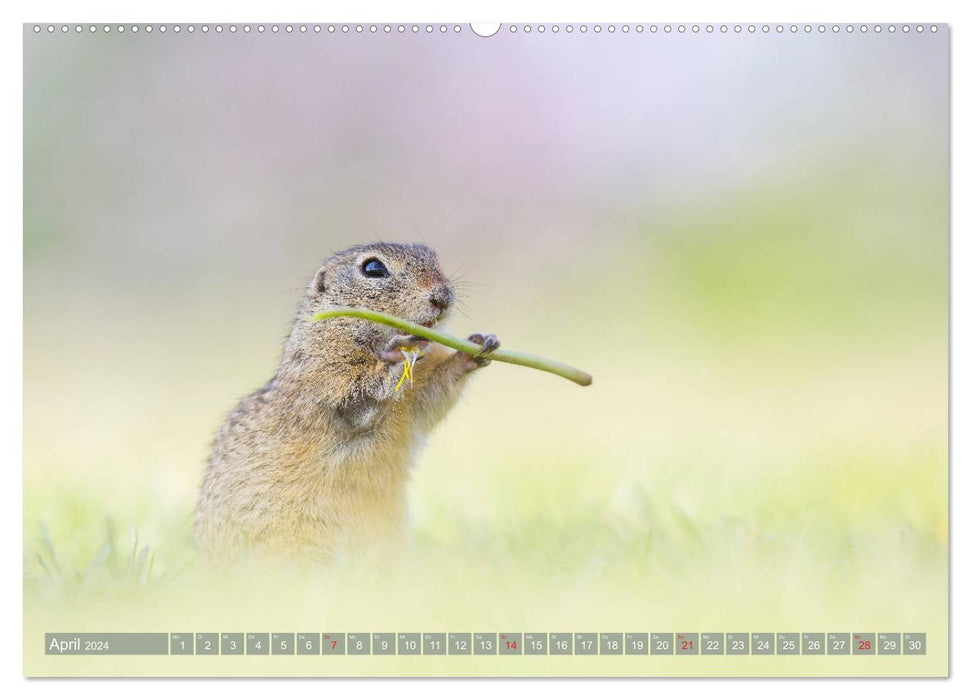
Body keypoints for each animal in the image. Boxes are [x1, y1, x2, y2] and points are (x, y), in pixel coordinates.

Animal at [197, 243, 502, 560]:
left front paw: (479, 346)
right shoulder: (324, 378)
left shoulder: (418, 397)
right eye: (373, 268)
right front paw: (400, 351)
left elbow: (436, 393)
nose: (443, 296)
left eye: (434, 257)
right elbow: (359, 400)